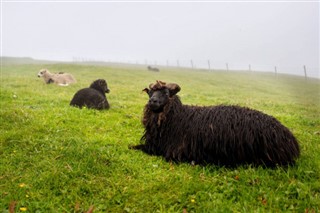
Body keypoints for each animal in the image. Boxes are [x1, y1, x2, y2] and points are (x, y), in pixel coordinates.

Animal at [131, 80, 300, 168]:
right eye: (151, 93)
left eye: (166, 93)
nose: (153, 101)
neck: (178, 117)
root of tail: (291, 139)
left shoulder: (172, 153)